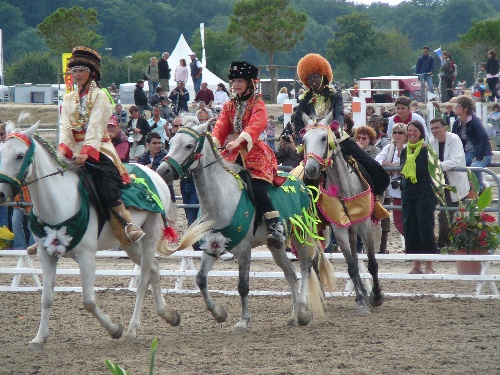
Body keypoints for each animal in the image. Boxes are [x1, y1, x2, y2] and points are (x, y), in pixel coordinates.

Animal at [0, 122, 181, 350]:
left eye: (19, 155)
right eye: (1, 152)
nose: (1, 194)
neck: (60, 201)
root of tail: (154, 174)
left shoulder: (86, 257)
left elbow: (88, 300)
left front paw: (115, 329)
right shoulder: (46, 255)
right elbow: (46, 298)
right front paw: (39, 338)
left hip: (150, 234)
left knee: (144, 278)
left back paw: (132, 329)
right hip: (128, 242)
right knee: (154, 269)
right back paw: (168, 315)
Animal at [156, 119, 334, 334]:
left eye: (189, 145)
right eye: (172, 141)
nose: (163, 171)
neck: (219, 201)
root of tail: (301, 184)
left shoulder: (243, 250)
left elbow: (243, 286)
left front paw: (243, 321)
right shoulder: (212, 247)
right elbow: (200, 279)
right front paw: (219, 313)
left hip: (300, 236)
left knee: (306, 267)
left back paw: (302, 312)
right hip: (275, 245)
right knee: (290, 274)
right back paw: (293, 316)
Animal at [300, 113, 382, 312]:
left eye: (324, 138)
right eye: (304, 140)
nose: (311, 169)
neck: (344, 188)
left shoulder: (363, 225)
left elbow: (371, 262)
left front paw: (376, 296)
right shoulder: (339, 230)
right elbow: (351, 265)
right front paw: (361, 301)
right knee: (313, 261)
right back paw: (321, 298)